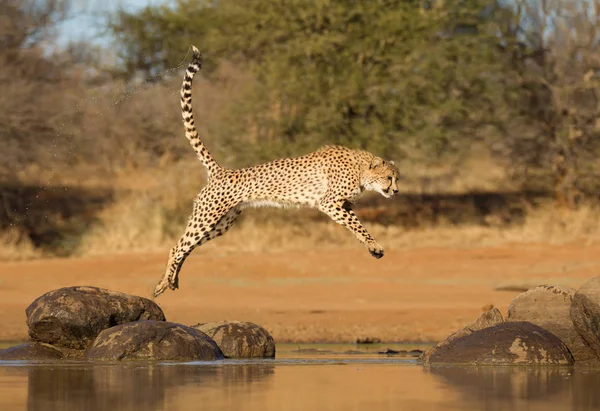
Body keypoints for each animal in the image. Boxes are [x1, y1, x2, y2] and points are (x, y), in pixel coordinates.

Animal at [152, 45, 400, 300]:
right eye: (389, 178)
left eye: (396, 178)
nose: (396, 191)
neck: (360, 169)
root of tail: (222, 171)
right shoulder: (328, 203)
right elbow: (357, 225)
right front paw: (375, 246)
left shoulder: (343, 205)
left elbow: (356, 224)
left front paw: (372, 247)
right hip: (207, 216)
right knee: (177, 246)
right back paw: (165, 282)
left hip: (221, 223)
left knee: (186, 247)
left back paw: (168, 282)